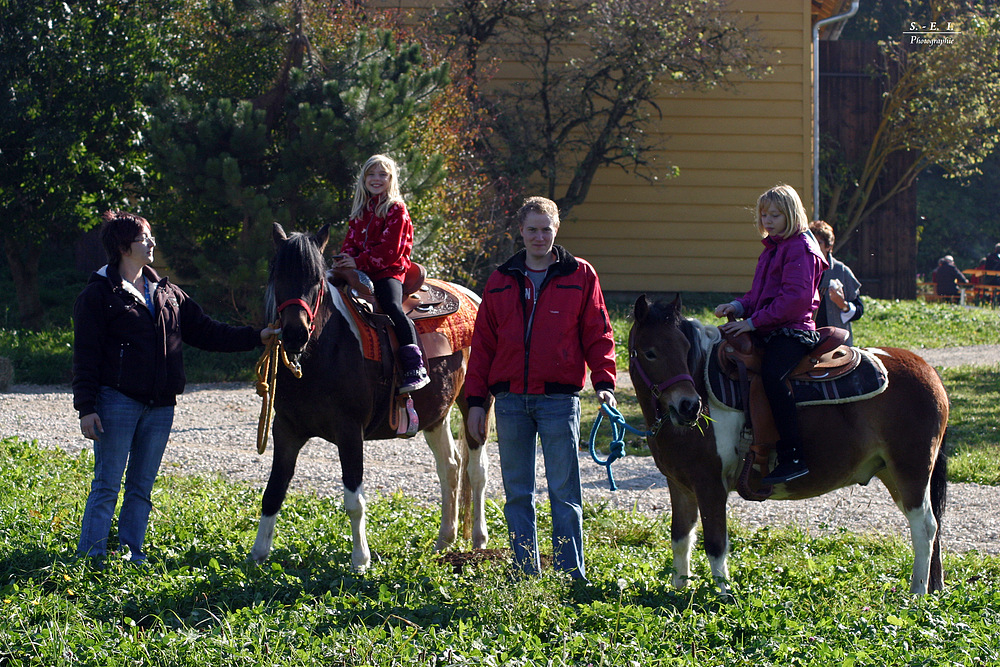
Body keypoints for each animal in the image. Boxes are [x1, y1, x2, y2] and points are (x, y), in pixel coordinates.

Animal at [248, 226, 486, 576]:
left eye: (316, 280)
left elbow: (354, 499)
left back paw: (479, 540)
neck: (325, 349)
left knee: (476, 469)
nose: (294, 334)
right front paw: (258, 553)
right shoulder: (286, 429)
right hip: (436, 415)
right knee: (450, 467)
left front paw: (360, 560)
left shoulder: (350, 432)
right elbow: (273, 491)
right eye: (278, 277)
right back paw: (444, 541)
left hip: (474, 404)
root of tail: (472, 297)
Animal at [628, 296, 948, 596]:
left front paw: (724, 596)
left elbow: (716, 544)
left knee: (924, 526)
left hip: (911, 469)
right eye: (650, 352)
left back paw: (917, 592)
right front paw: (679, 591)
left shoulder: (710, 486)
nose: (689, 406)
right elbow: (680, 538)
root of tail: (928, 371)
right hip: (891, 473)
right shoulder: (680, 485)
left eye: (685, 350)